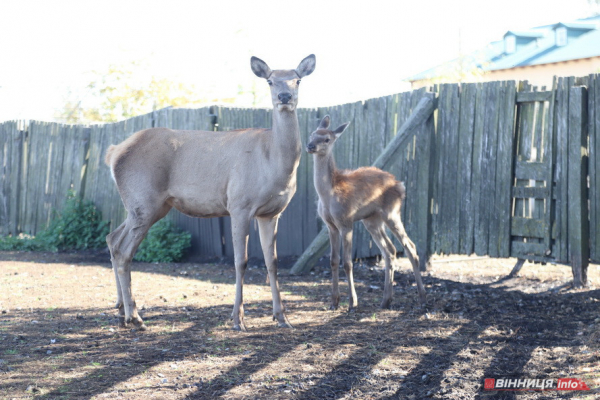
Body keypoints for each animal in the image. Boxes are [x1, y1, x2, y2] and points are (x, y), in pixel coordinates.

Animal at [105, 55, 316, 332]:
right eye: (270, 81)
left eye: (297, 80)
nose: (284, 96)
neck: (275, 163)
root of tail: (114, 152)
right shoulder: (239, 204)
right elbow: (241, 261)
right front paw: (238, 319)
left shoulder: (271, 213)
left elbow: (273, 262)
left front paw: (282, 317)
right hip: (144, 200)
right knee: (123, 250)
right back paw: (135, 317)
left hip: (149, 206)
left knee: (112, 238)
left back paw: (121, 309)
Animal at [304, 115, 426, 310]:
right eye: (312, 134)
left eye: (327, 139)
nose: (310, 146)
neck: (328, 195)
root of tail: (401, 185)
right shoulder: (330, 226)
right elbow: (333, 261)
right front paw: (334, 302)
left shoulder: (346, 221)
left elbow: (347, 262)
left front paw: (352, 302)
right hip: (372, 221)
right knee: (390, 250)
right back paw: (386, 300)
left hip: (392, 213)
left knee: (410, 247)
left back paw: (422, 297)